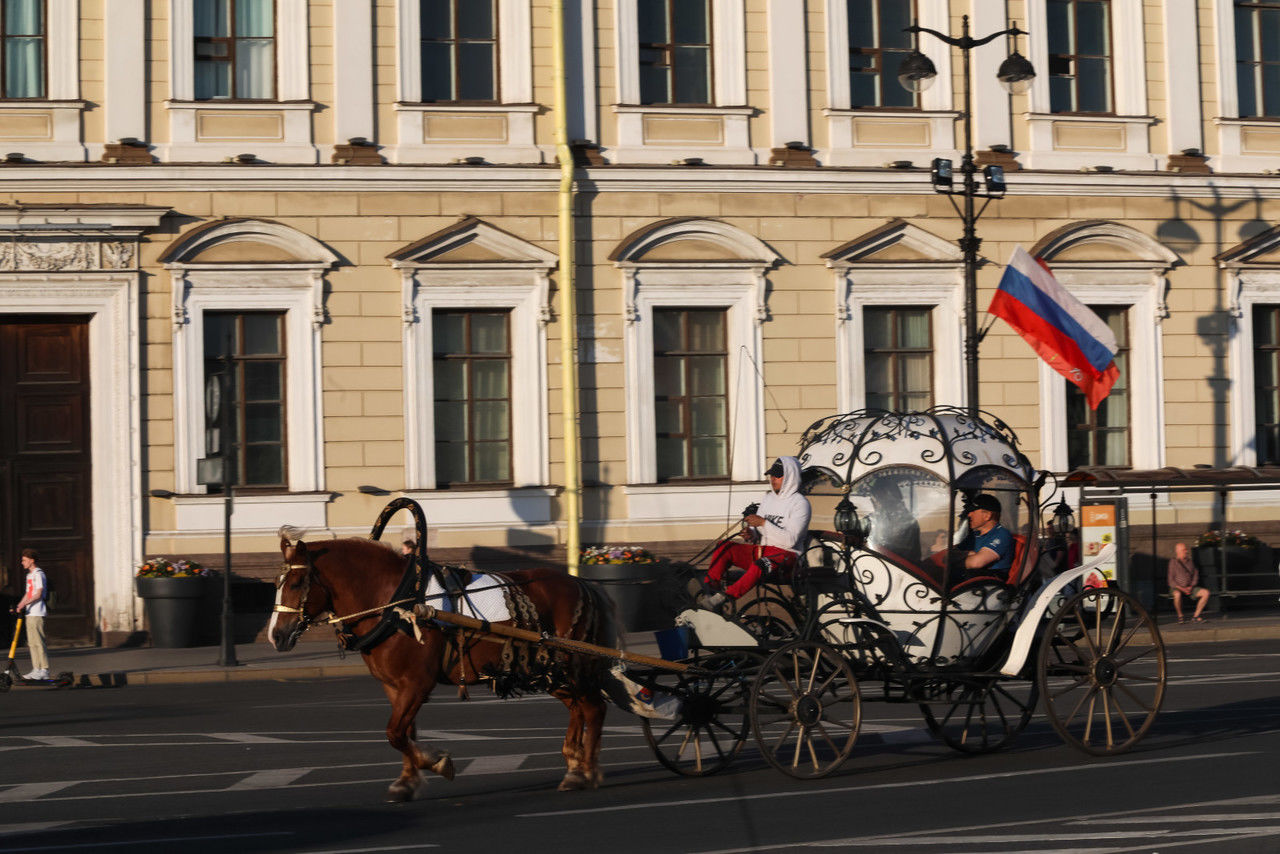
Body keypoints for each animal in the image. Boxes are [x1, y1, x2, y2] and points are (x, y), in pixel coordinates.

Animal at [267, 527, 616, 804]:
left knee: (594, 708)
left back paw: (586, 771)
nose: (276, 635)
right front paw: (407, 782)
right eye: (276, 582)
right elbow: (404, 733)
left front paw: (436, 762)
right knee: (578, 708)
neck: (398, 605)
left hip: (572, 668)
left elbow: (395, 733)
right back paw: (574, 766)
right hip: (549, 673)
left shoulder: (417, 684)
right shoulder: (394, 686)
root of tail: (580, 583)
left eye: (296, 582)